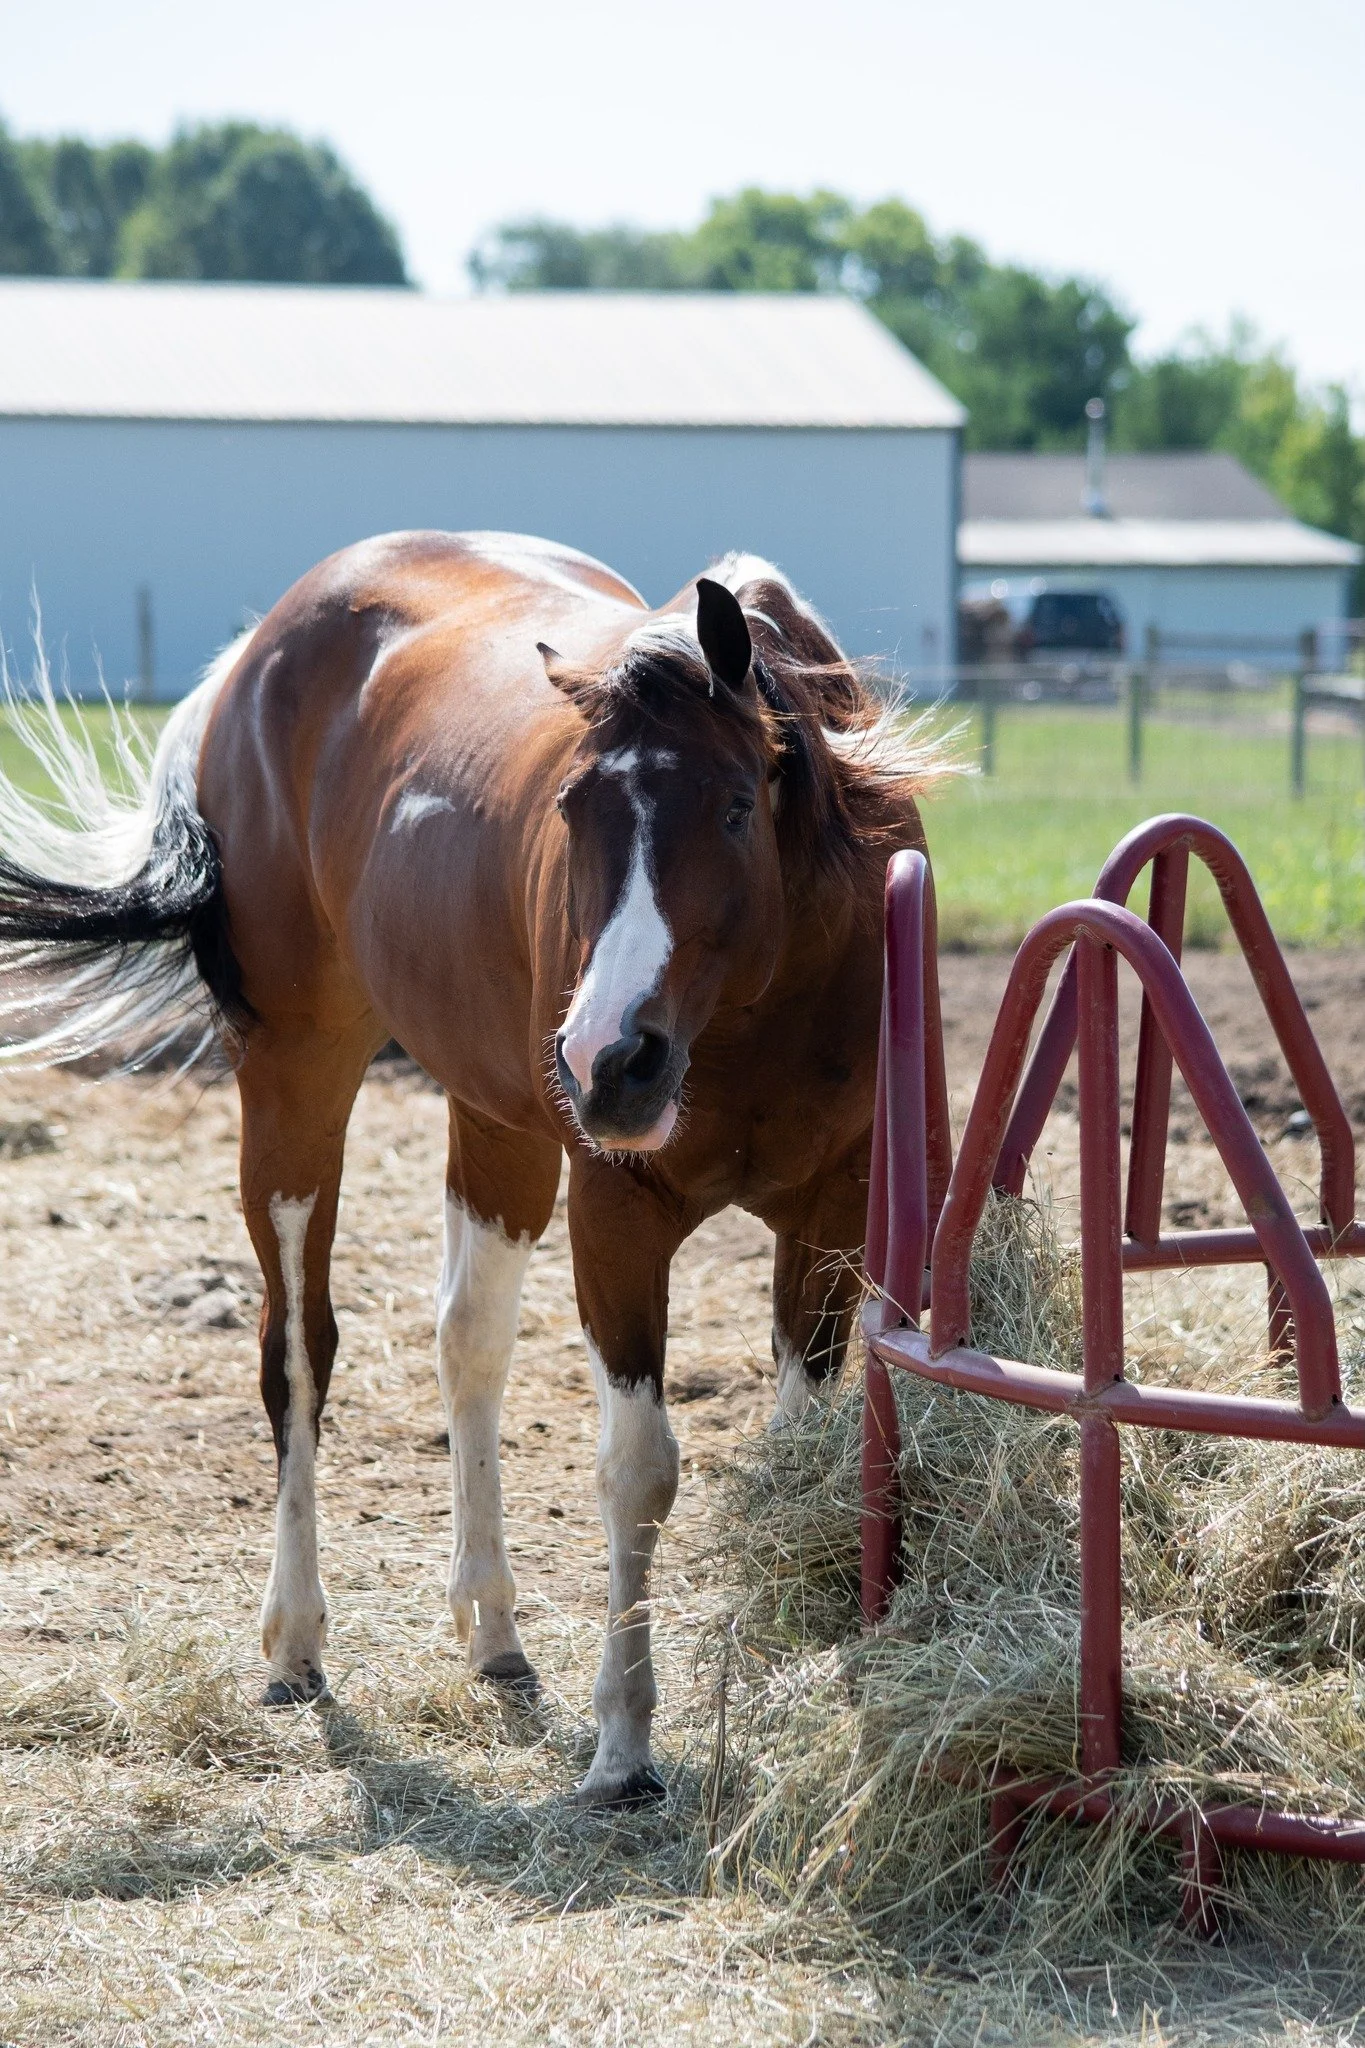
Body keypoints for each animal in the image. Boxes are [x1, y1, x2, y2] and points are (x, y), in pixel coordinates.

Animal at [0, 532, 947, 1804]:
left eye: (738, 803)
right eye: (573, 807)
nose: (607, 1059)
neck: (762, 1004)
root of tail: (260, 652)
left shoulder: (831, 1209)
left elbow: (798, 1454)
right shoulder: (618, 1213)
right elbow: (636, 1468)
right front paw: (623, 1742)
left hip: (498, 1122)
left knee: (470, 1344)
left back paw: (495, 1632)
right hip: (298, 1078)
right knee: (298, 1352)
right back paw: (296, 1643)